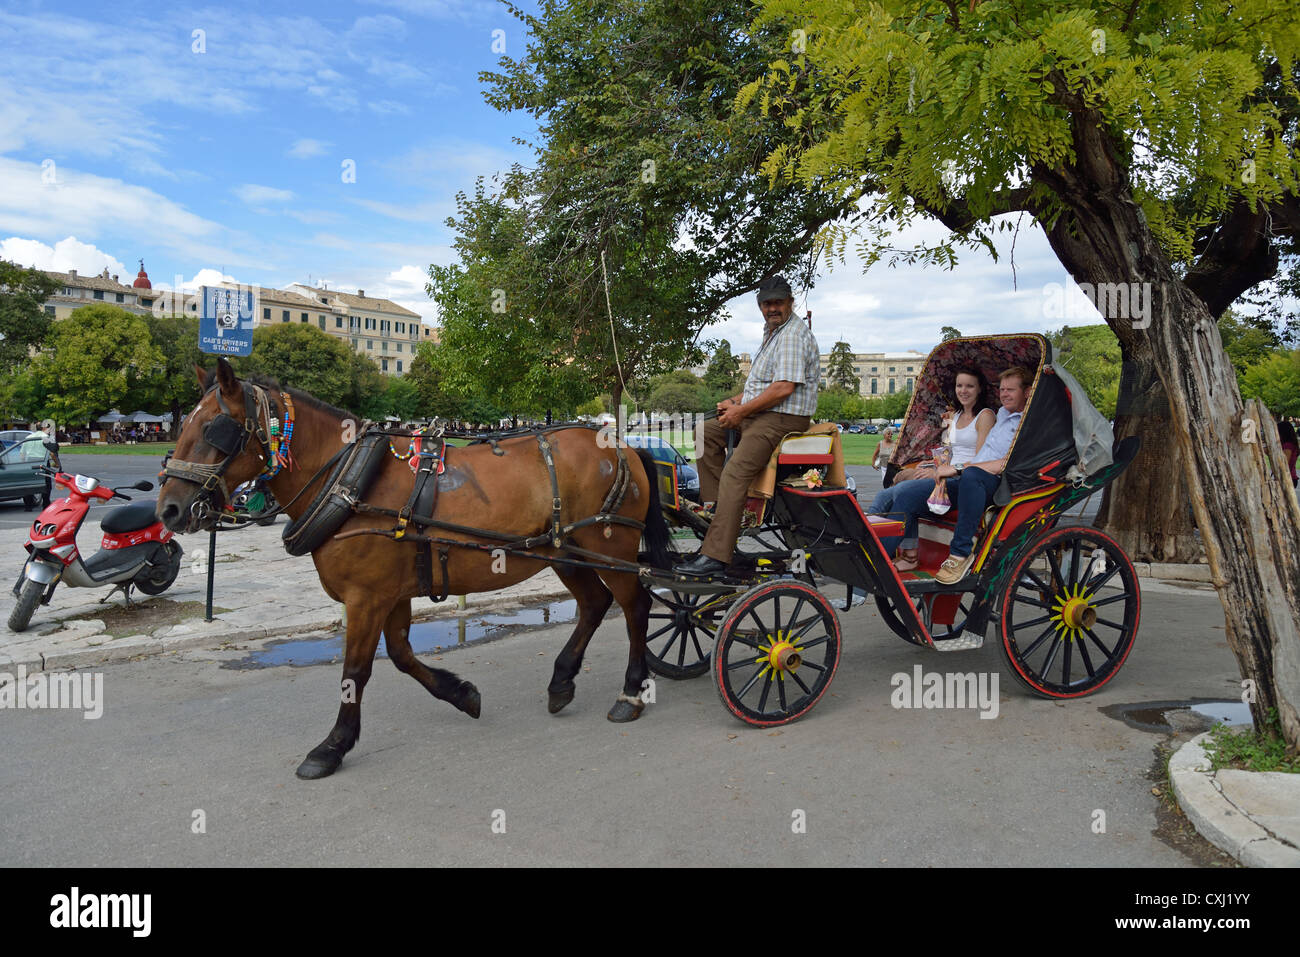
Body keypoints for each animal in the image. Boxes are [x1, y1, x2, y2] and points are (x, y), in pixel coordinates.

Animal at [154, 356, 670, 780]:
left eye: (215, 428)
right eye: (186, 425)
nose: (169, 510)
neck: (349, 481)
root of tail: (623, 446)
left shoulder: (365, 597)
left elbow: (356, 670)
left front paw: (332, 747)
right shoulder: (392, 592)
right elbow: (401, 656)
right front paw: (462, 694)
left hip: (609, 546)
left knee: (636, 607)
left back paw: (631, 692)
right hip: (567, 551)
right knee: (595, 604)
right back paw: (562, 681)